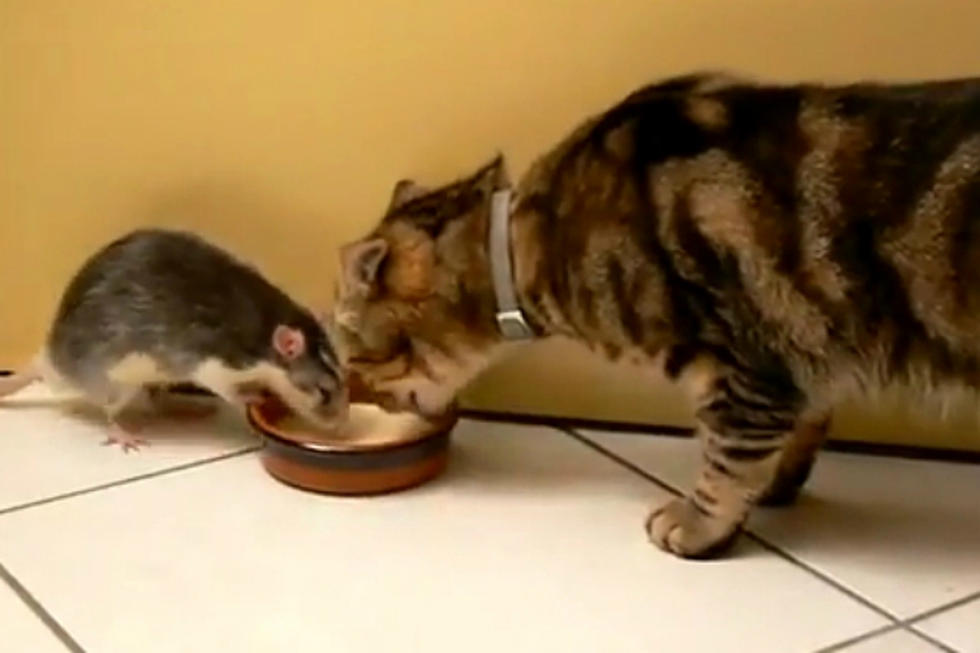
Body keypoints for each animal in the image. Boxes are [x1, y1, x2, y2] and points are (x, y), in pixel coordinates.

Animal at [332, 74, 980, 556]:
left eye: (352, 349)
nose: (352, 390)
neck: (534, 244)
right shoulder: (802, 353)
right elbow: (800, 426)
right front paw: (775, 485)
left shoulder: (745, 368)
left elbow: (728, 458)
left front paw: (699, 525)